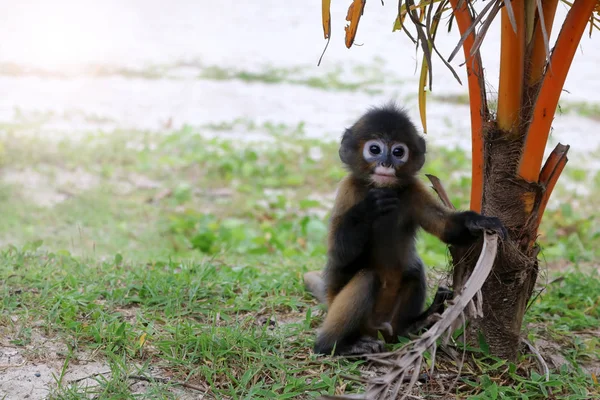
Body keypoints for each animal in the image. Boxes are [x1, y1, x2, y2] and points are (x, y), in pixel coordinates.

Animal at [304, 103, 506, 356]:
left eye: (398, 152)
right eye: (374, 149)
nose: (386, 164)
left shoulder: (413, 189)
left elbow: (447, 229)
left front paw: (478, 222)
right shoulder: (348, 191)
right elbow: (340, 258)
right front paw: (369, 208)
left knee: (413, 269)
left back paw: (413, 325)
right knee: (367, 277)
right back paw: (336, 345)